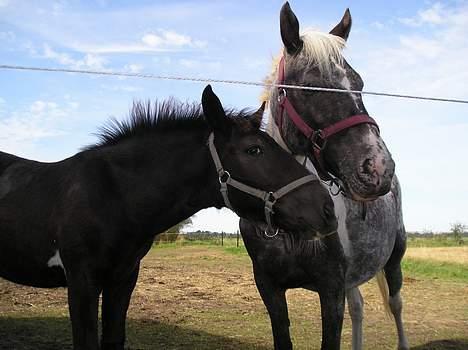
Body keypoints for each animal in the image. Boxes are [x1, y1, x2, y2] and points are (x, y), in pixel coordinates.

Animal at [239, 3, 408, 350]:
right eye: (309, 87)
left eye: (359, 83)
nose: (378, 168)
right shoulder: (269, 288)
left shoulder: (331, 290)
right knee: (359, 307)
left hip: (394, 258)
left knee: (396, 305)